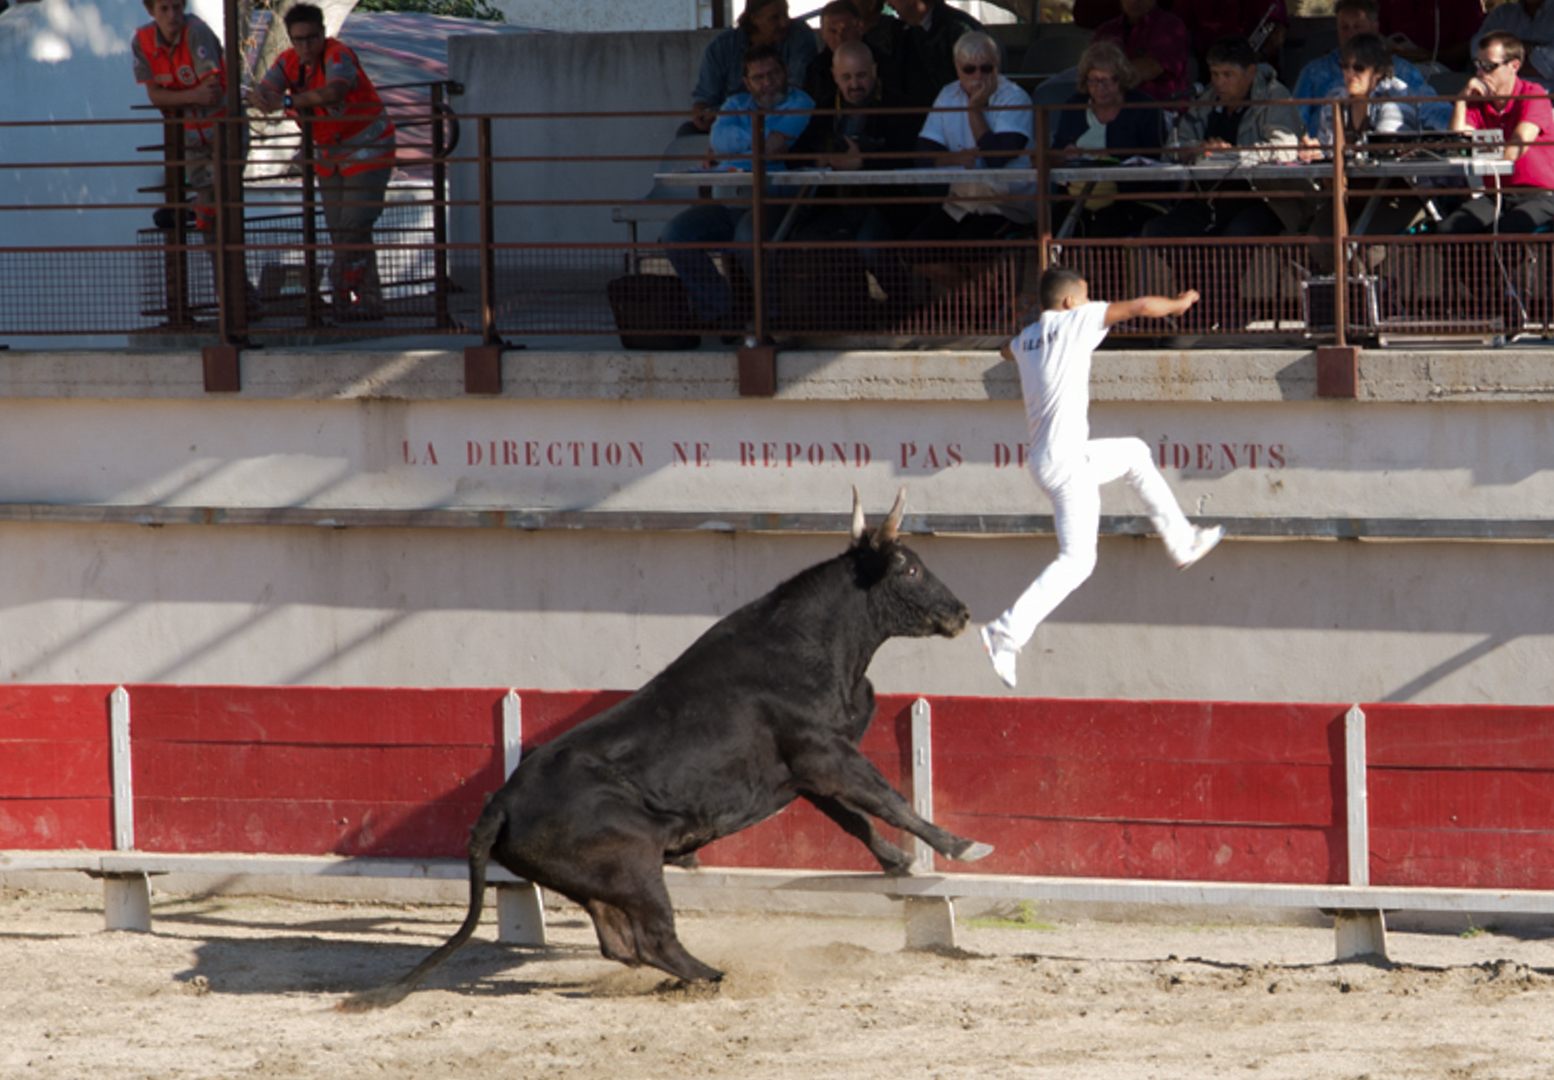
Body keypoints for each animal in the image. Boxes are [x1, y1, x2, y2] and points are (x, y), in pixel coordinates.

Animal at [344, 491, 988, 1013]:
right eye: (909, 566)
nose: (962, 612)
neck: (812, 644)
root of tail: (498, 802)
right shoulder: (826, 755)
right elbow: (889, 799)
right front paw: (962, 846)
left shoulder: (806, 772)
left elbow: (857, 818)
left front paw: (898, 863)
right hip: (634, 864)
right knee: (653, 936)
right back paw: (714, 975)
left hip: (600, 880)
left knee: (621, 942)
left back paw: (690, 977)